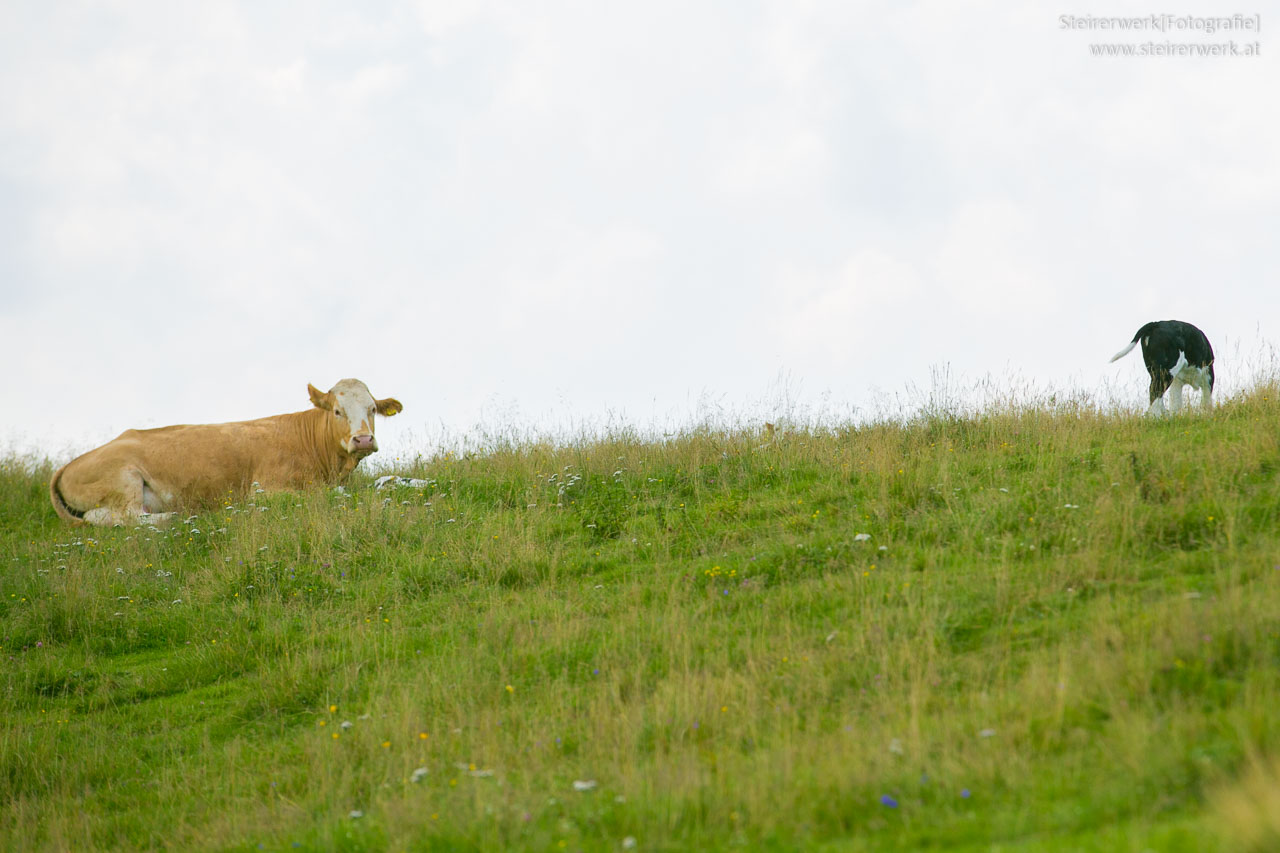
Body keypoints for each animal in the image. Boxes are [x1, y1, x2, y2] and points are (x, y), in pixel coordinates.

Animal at [49, 379, 399, 525]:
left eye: (372, 409)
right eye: (338, 411)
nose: (363, 440)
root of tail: (68, 465)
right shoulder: (267, 489)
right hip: (124, 478)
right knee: (118, 517)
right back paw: (175, 516)